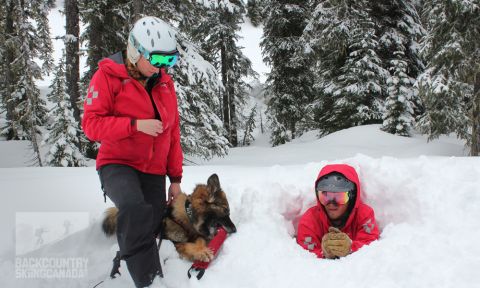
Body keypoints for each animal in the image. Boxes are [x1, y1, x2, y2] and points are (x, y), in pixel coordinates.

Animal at [102, 174, 236, 262]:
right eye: (226, 211)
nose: (235, 230)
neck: (188, 215)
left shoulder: (197, 235)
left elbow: (199, 241)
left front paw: (201, 249)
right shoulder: (173, 243)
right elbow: (186, 245)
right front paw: (201, 252)